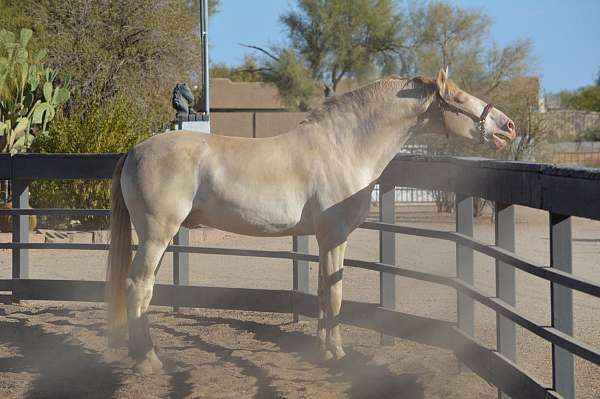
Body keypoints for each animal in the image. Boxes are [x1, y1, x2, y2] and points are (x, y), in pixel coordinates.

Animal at [106, 68, 516, 372]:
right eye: (458, 98)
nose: (507, 126)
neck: (344, 148)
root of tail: (135, 150)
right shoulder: (335, 236)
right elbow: (334, 293)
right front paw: (337, 354)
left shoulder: (323, 238)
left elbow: (321, 291)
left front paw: (323, 349)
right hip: (156, 236)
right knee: (137, 287)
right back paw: (148, 360)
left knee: (143, 290)